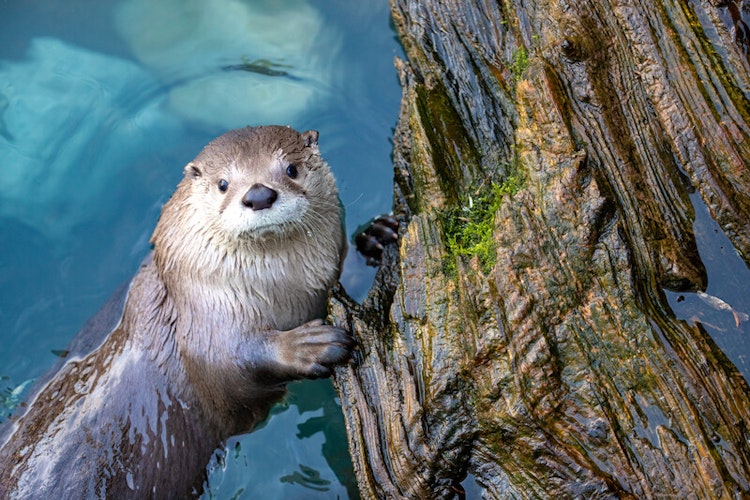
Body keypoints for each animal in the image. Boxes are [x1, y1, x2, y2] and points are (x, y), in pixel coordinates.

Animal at [0, 125, 356, 496]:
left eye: (291, 169)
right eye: (223, 183)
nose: (258, 195)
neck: (283, 295)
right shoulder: (203, 321)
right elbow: (232, 362)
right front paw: (310, 345)